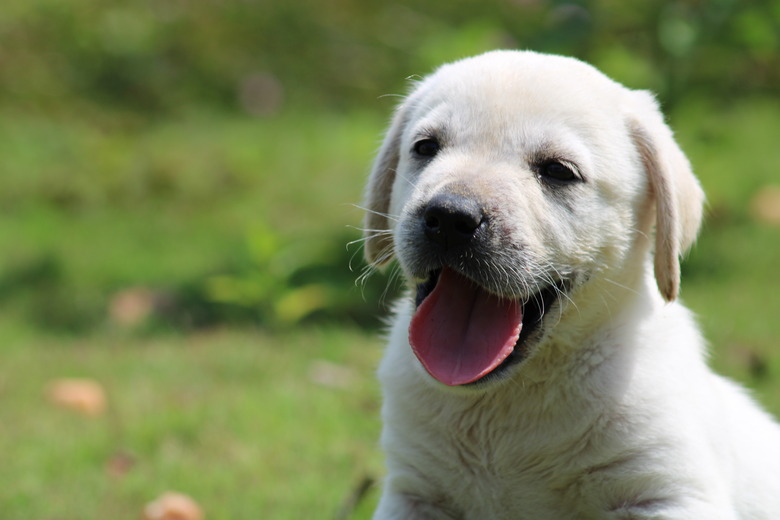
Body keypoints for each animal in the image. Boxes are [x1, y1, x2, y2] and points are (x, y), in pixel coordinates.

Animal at [362, 49, 780, 520]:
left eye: (558, 171)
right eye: (426, 148)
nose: (450, 217)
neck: (511, 396)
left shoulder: (670, 491)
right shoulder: (414, 494)